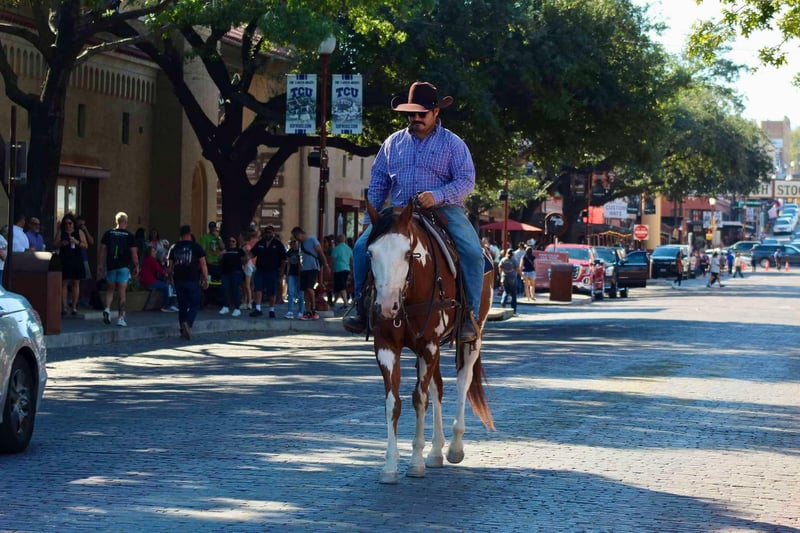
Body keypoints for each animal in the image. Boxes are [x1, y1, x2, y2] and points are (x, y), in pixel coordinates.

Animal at [363, 200, 495, 484]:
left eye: (408, 254)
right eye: (370, 253)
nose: (386, 307)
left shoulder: (429, 344)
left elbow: (419, 398)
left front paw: (415, 461)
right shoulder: (386, 345)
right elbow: (393, 402)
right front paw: (390, 465)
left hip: (473, 338)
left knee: (462, 381)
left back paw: (454, 447)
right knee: (438, 386)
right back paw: (435, 451)